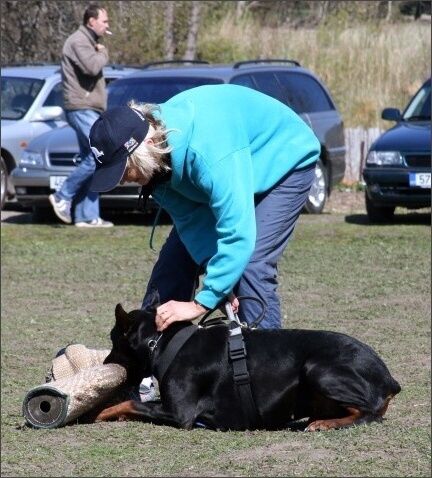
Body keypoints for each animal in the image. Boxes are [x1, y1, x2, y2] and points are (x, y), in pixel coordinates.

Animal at [96, 300, 400, 432]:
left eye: (113, 341)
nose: (104, 363)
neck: (162, 343)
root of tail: (389, 379)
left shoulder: (180, 413)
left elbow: (131, 403)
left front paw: (100, 413)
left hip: (318, 369)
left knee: (369, 413)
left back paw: (325, 423)